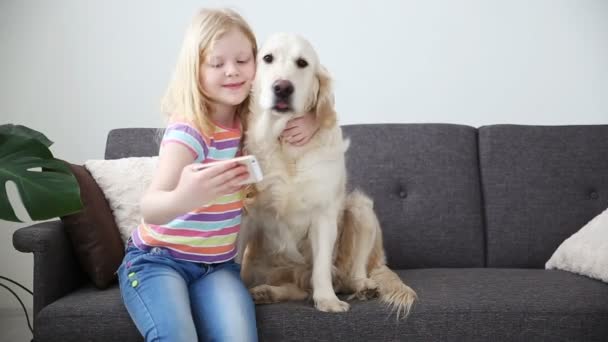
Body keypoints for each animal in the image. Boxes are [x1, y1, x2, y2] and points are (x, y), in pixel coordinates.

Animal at [239, 33, 418, 316]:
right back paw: (265, 292)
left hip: (360, 209)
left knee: (349, 274)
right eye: (267, 58)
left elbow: (322, 266)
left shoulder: (323, 213)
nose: (282, 87)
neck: (285, 143)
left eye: (302, 63)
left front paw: (327, 300)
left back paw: (363, 287)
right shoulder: (246, 212)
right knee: (296, 288)